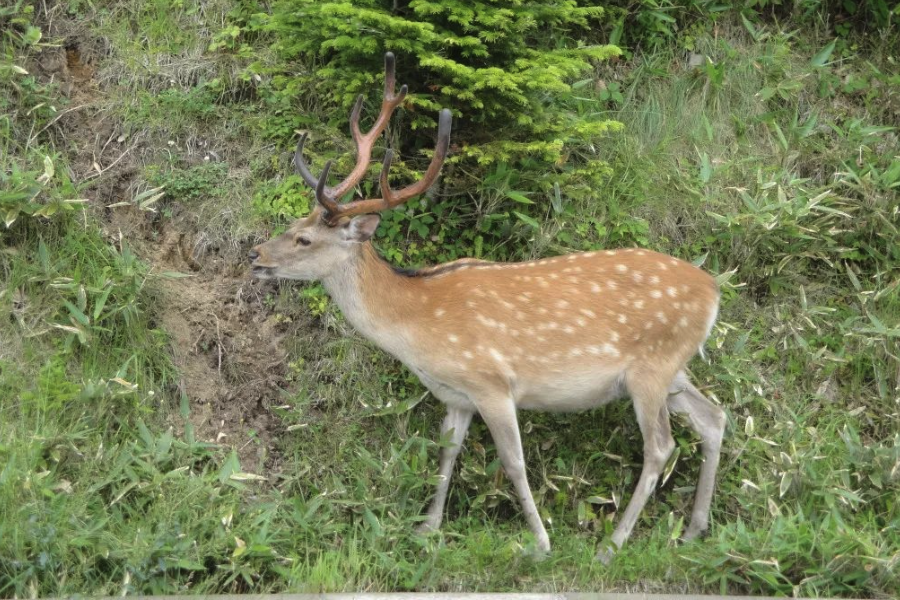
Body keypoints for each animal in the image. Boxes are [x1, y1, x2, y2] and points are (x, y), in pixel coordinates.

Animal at [250, 52, 728, 564]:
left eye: (304, 239)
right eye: (292, 224)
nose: (255, 255)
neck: (417, 323)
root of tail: (714, 290)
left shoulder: (491, 382)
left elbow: (514, 462)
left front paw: (540, 544)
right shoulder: (456, 396)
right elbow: (447, 453)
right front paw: (427, 530)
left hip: (651, 368)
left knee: (660, 446)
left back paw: (613, 545)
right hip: (673, 368)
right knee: (713, 417)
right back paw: (694, 530)